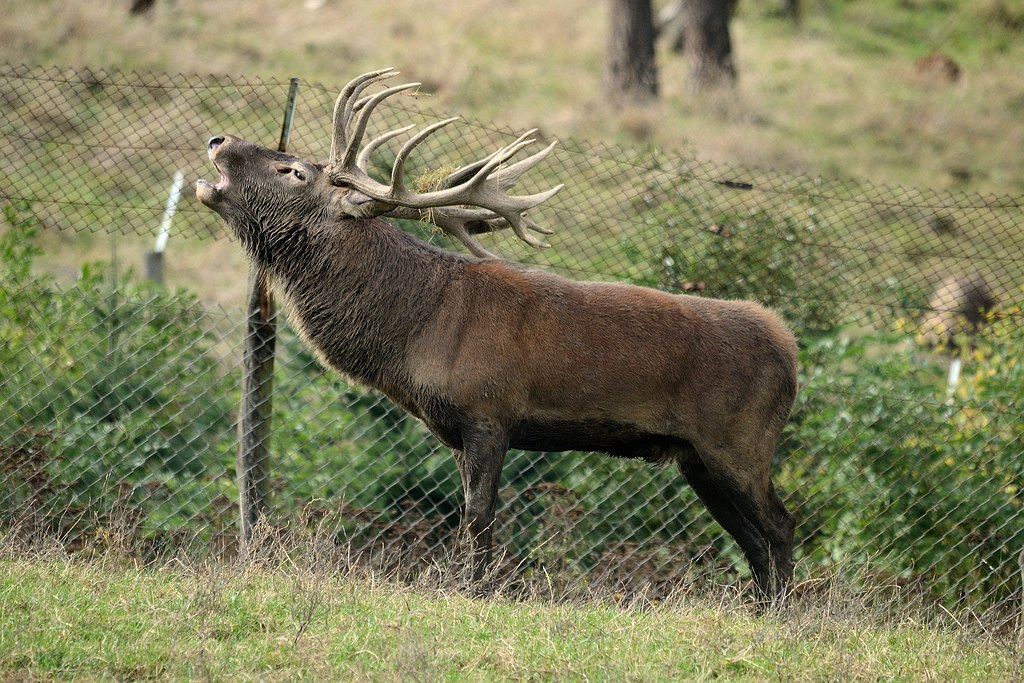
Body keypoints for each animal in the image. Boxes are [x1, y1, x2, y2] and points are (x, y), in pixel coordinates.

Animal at [196, 69, 799, 600]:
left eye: (294, 171)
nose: (219, 140)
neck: (412, 331)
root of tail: (789, 351)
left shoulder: (489, 413)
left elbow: (479, 518)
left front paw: (474, 592)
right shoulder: (456, 431)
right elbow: (473, 517)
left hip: (740, 440)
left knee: (781, 526)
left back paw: (786, 615)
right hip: (696, 457)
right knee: (752, 539)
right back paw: (762, 609)